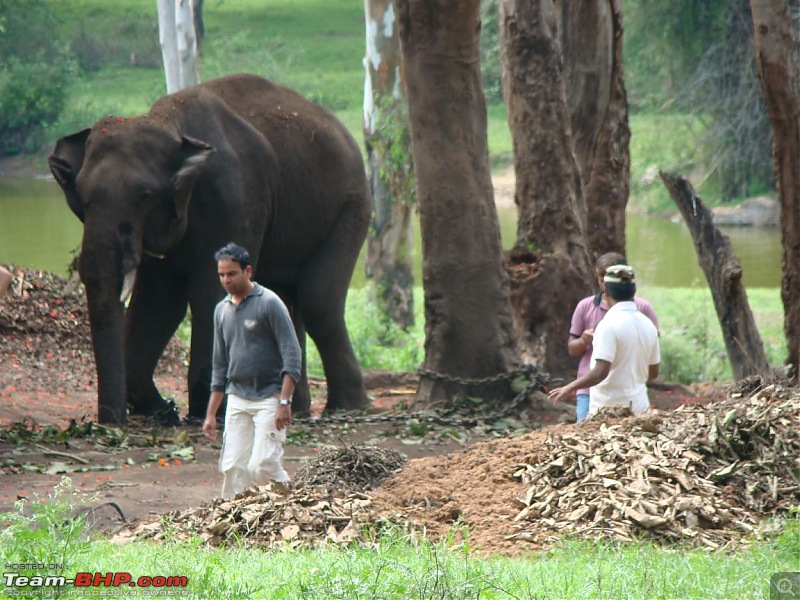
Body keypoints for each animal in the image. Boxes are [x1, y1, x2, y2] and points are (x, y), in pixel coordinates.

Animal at [50, 72, 372, 424]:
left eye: (144, 196)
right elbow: (159, 301)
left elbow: (208, 291)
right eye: (83, 198)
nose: (112, 421)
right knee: (283, 299)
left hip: (351, 207)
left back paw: (348, 407)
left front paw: (206, 412)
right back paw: (294, 409)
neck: (169, 124)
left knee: (319, 301)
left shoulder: (235, 198)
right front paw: (164, 410)